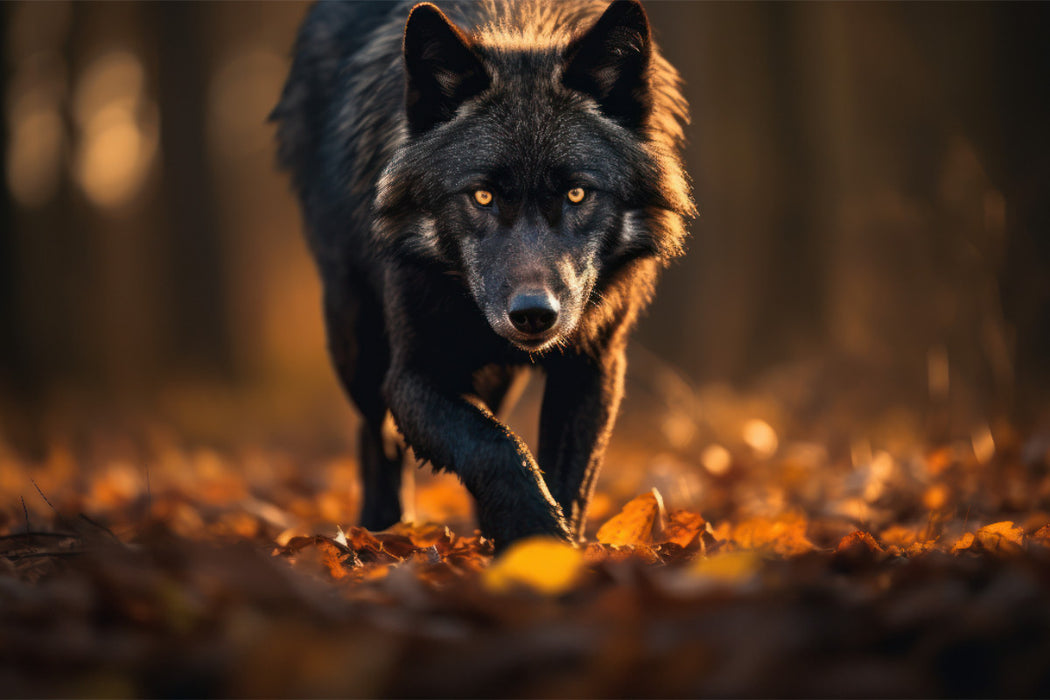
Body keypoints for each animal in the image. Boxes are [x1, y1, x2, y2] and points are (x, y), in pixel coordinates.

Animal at [272, 0, 694, 548]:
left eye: (577, 193)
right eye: (483, 195)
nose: (534, 315)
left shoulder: (593, 365)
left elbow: (567, 478)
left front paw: (545, 549)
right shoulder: (413, 375)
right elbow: (495, 445)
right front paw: (536, 536)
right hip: (355, 342)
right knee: (375, 434)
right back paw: (379, 530)